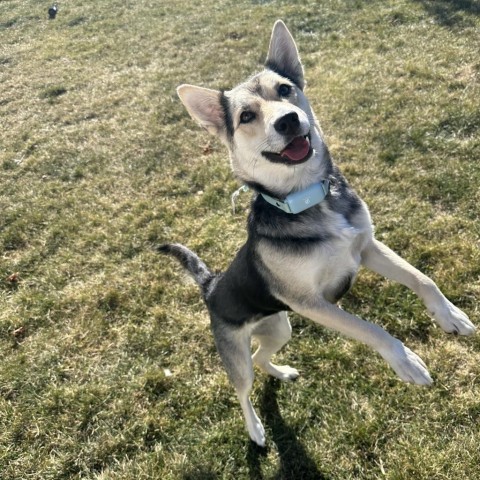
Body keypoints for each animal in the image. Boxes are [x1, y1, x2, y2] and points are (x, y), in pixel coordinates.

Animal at [159, 18, 474, 446]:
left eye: (285, 90)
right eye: (246, 117)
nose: (288, 120)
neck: (308, 199)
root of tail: (211, 284)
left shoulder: (365, 247)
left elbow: (422, 279)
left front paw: (450, 315)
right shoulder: (311, 303)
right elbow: (369, 327)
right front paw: (405, 360)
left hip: (279, 327)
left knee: (262, 357)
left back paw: (281, 372)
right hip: (236, 349)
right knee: (242, 387)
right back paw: (255, 429)